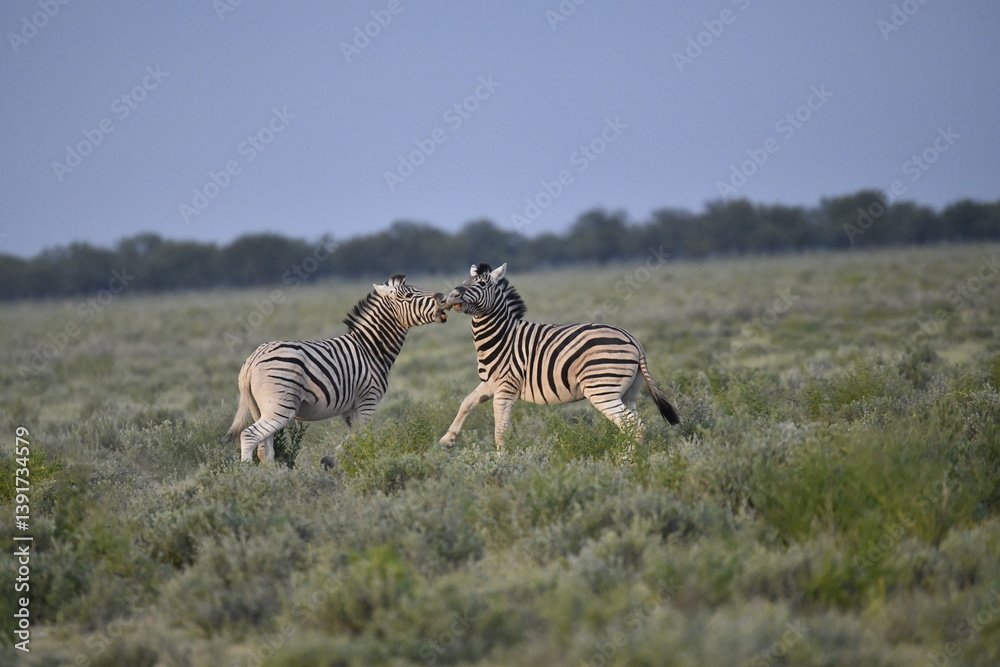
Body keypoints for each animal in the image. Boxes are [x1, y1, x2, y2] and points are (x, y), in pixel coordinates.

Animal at [226, 275, 447, 463]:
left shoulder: (349, 408)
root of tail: (253, 360)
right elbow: (361, 439)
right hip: (280, 407)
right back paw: (247, 476)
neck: (370, 348)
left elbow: (352, 439)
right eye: (409, 296)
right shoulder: (368, 399)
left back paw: (273, 478)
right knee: (249, 436)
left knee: (265, 450)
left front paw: (335, 461)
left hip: (259, 408)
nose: (443, 298)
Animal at [439, 263, 679, 450]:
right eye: (464, 281)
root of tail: (634, 341)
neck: (502, 337)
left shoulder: (506, 389)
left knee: (634, 427)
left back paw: (625, 464)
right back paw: (633, 459)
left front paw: (501, 462)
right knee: (634, 425)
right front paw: (448, 439)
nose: (452, 295)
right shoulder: (490, 383)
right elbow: (466, 402)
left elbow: (500, 431)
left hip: (602, 389)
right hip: (629, 392)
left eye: (481, 284)